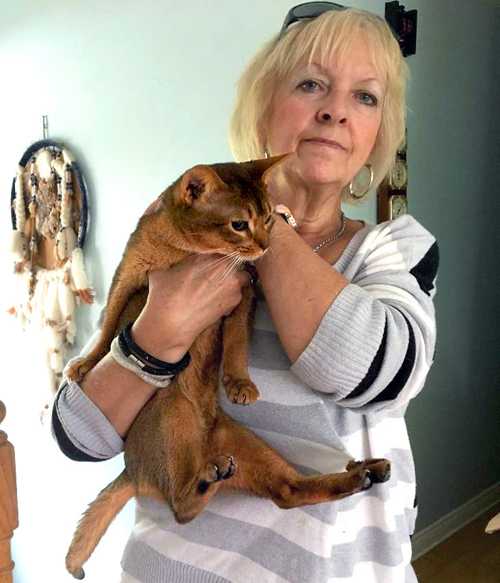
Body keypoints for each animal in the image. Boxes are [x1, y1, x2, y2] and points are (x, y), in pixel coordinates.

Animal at [63, 157, 390, 580]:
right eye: (238, 224)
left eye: (267, 219)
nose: (266, 247)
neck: (187, 250)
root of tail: (133, 470)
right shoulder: (129, 274)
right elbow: (107, 329)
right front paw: (84, 363)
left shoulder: (243, 288)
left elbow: (236, 344)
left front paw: (239, 382)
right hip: (171, 414)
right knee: (181, 510)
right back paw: (206, 481)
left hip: (242, 442)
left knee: (286, 492)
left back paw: (361, 473)